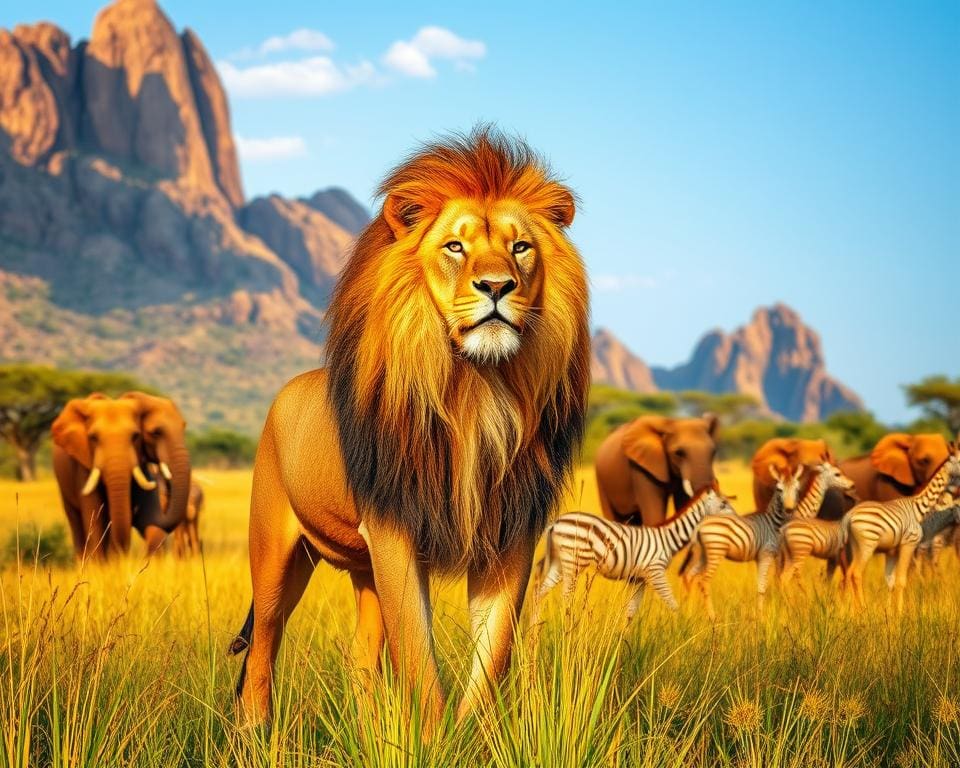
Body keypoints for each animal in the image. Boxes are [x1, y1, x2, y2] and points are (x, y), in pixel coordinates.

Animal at [230, 127, 590, 727]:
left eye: (520, 247)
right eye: (455, 247)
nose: (498, 286)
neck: (477, 389)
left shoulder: (510, 533)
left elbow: (492, 658)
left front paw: (472, 736)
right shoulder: (394, 529)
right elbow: (418, 658)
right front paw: (434, 734)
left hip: (363, 567)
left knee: (359, 656)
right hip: (275, 551)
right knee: (263, 647)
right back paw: (255, 734)